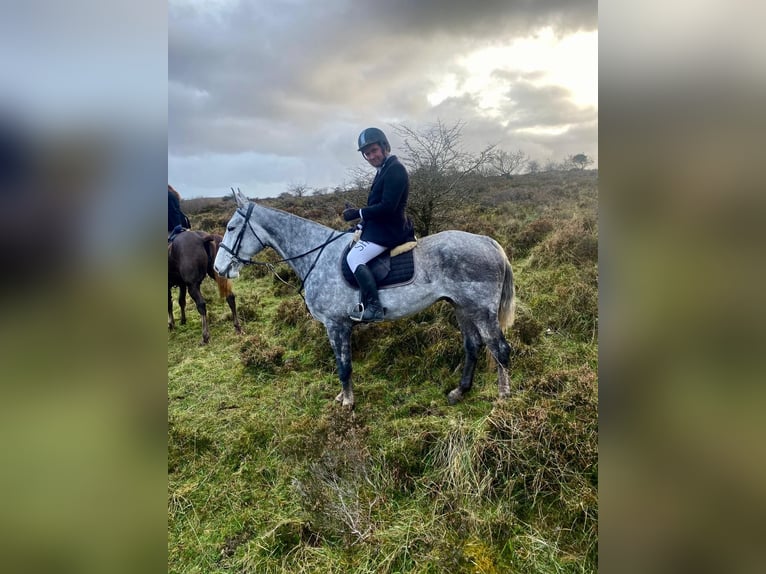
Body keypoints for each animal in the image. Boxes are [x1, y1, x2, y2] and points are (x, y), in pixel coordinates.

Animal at [213, 191, 520, 408]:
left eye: (231, 228)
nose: (218, 268)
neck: (317, 255)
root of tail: (488, 242)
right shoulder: (338, 326)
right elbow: (342, 363)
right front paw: (343, 398)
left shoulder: (336, 324)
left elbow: (343, 366)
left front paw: (348, 403)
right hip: (462, 307)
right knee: (473, 346)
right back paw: (460, 391)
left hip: (481, 311)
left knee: (500, 349)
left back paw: (503, 398)